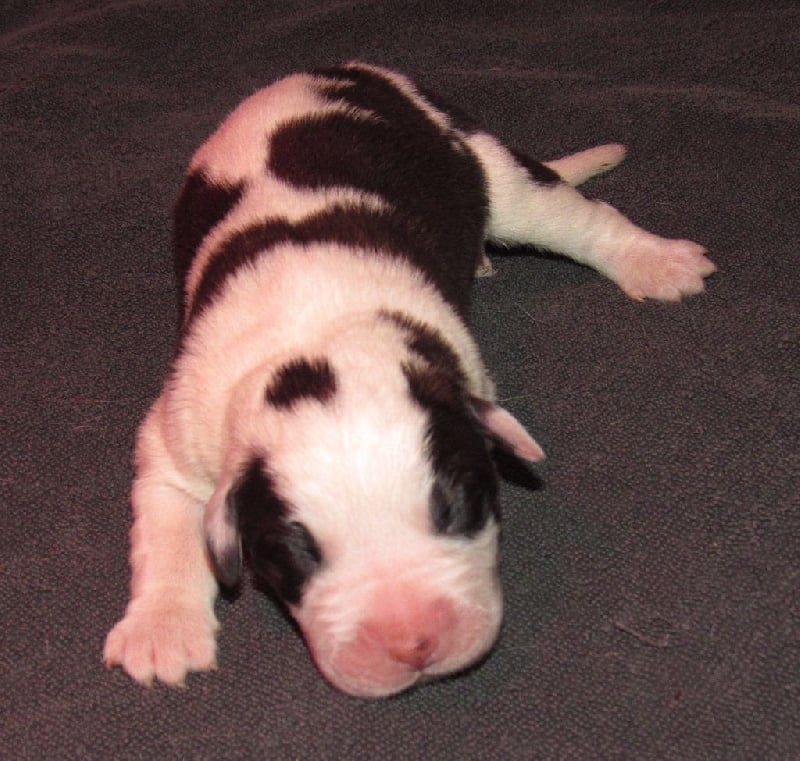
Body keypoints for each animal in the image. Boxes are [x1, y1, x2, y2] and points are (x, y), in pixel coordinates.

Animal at [103, 62, 715, 698]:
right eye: (297, 552)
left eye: (456, 507)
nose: (411, 644)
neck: (313, 343)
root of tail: (330, 70)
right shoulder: (184, 429)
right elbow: (168, 520)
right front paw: (162, 629)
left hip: (484, 161)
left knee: (571, 216)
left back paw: (656, 261)